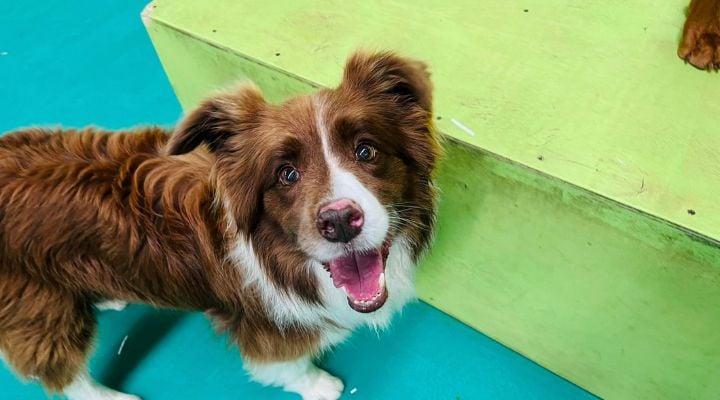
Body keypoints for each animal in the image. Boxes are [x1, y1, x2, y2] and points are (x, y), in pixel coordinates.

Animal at [0, 51, 438, 398]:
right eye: (286, 174)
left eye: (366, 151)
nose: (340, 221)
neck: (286, 260)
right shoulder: (263, 329)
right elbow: (285, 366)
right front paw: (318, 386)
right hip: (36, 307)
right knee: (59, 368)